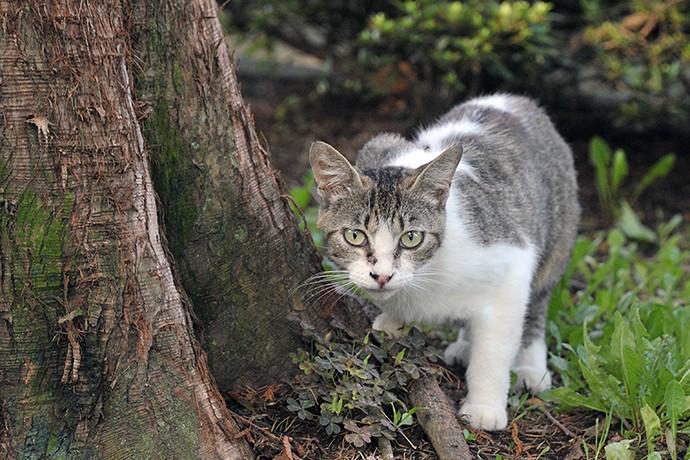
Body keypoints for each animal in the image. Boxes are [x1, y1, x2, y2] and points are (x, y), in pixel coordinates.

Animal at [306, 94, 576, 432]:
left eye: (411, 238)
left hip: (557, 228)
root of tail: (515, 99)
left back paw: (530, 365)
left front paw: (485, 406)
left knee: (538, 298)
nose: (381, 275)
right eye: (355, 235)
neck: (428, 272)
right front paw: (393, 320)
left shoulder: (512, 257)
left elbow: (496, 344)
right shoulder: (380, 143)